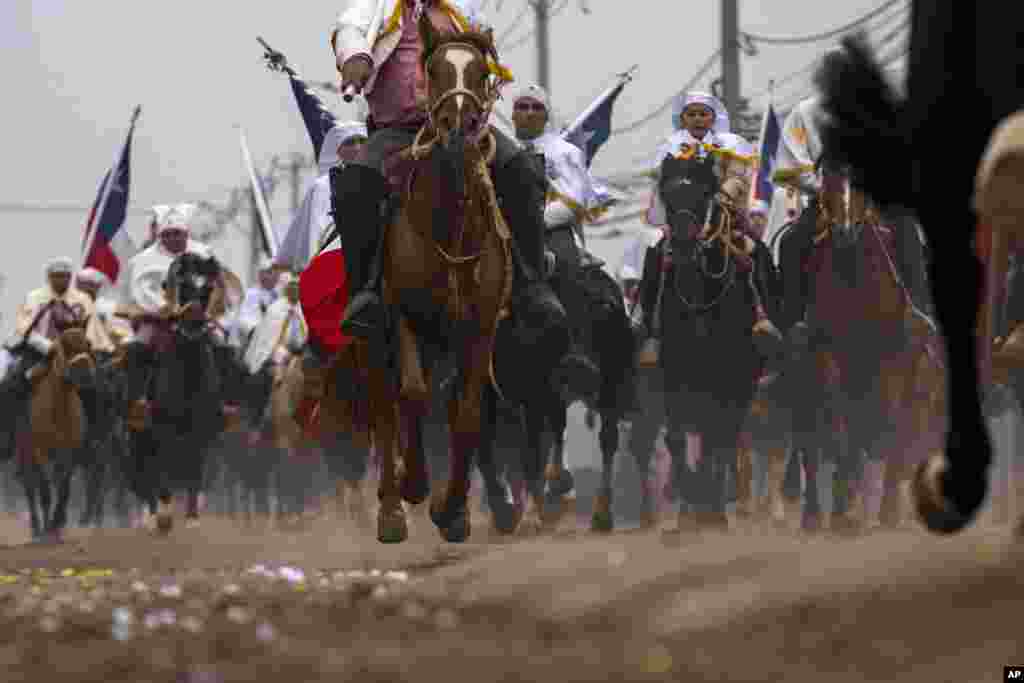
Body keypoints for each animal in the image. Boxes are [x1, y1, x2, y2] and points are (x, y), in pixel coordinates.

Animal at [344, 18, 516, 544]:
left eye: (479, 71)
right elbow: (413, 397)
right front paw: (416, 487)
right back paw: (391, 509)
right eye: (435, 70)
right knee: (385, 409)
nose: (459, 128)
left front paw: (453, 509)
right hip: (371, 342)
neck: (448, 224)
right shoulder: (403, 314)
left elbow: (466, 414)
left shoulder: (479, 328)